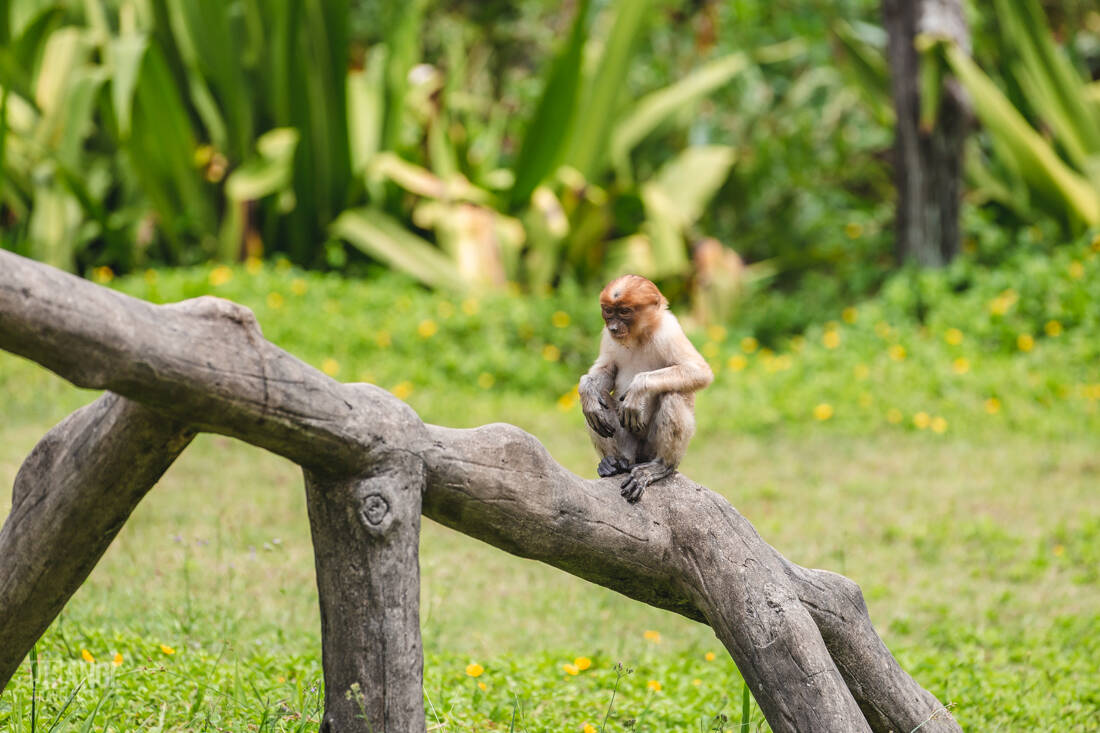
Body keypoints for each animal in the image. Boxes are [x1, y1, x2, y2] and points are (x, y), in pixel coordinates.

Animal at [579, 275, 713, 503]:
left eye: (624, 311)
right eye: (608, 311)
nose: (613, 328)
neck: (639, 336)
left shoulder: (669, 331)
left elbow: (699, 371)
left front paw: (638, 390)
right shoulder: (607, 337)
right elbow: (606, 370)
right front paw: (587, 392)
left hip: (651, 446)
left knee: (672, 395)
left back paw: (660, 467)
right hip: (629, 444)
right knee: (600, 401)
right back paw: (613, 463)